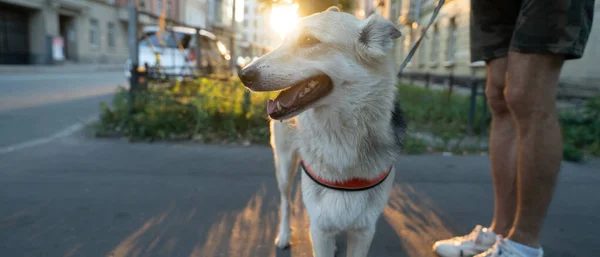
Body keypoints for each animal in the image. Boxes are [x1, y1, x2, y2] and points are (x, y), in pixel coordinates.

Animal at [237, 6, 406, 256]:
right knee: (285, 202)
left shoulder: (363, 231)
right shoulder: (320, 228)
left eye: (309, 40)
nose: (243, 74)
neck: (340, 137)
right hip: (284, 167)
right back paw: (284, 235)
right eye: (284, 41)